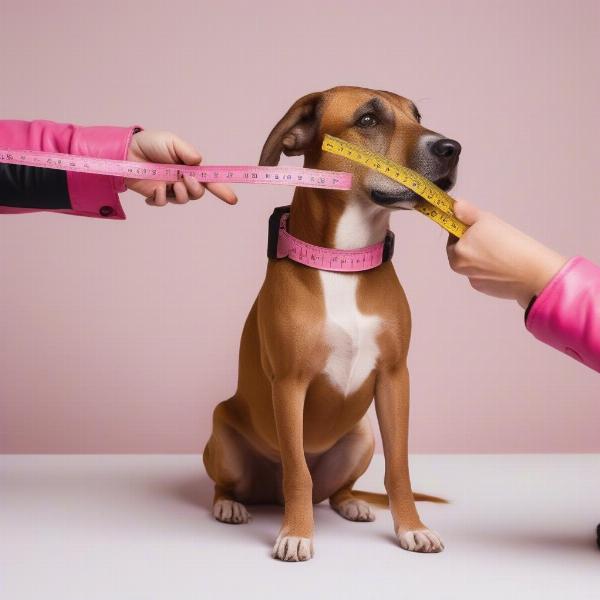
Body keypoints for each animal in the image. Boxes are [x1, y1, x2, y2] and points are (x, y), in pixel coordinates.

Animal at [204, 86, 462, 560]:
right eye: (367, 120)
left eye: (417, 116)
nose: (452, 148)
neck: (342, 262)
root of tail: (267, 497)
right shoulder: (289, 385)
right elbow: (297, 472)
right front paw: (297, 533)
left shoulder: (395, 379)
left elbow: (399, 469)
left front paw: (412, 527)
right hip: (224, 440)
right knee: (230, 484)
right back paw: (229, 505)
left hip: (362, 438)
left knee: (338, 489)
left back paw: (352, 504)